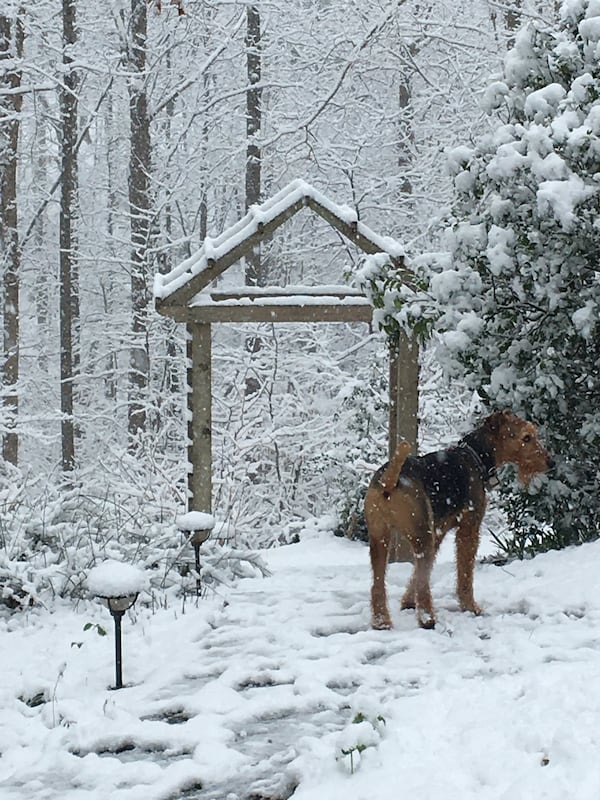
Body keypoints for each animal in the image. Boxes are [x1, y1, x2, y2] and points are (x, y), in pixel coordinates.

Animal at [364, 412, 552, 632]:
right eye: (526, 437)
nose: (551, 462)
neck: (475, 456)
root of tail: (388, 482)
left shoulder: (438, 532)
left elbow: (416, 574)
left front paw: (407, 602)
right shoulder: (468, 528)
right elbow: (464, 572)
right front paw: (470, 607)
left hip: (380, 538)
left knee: (377, 584)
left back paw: (382, 622)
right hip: (420, 536)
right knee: (422, 583)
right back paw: (427, 619)